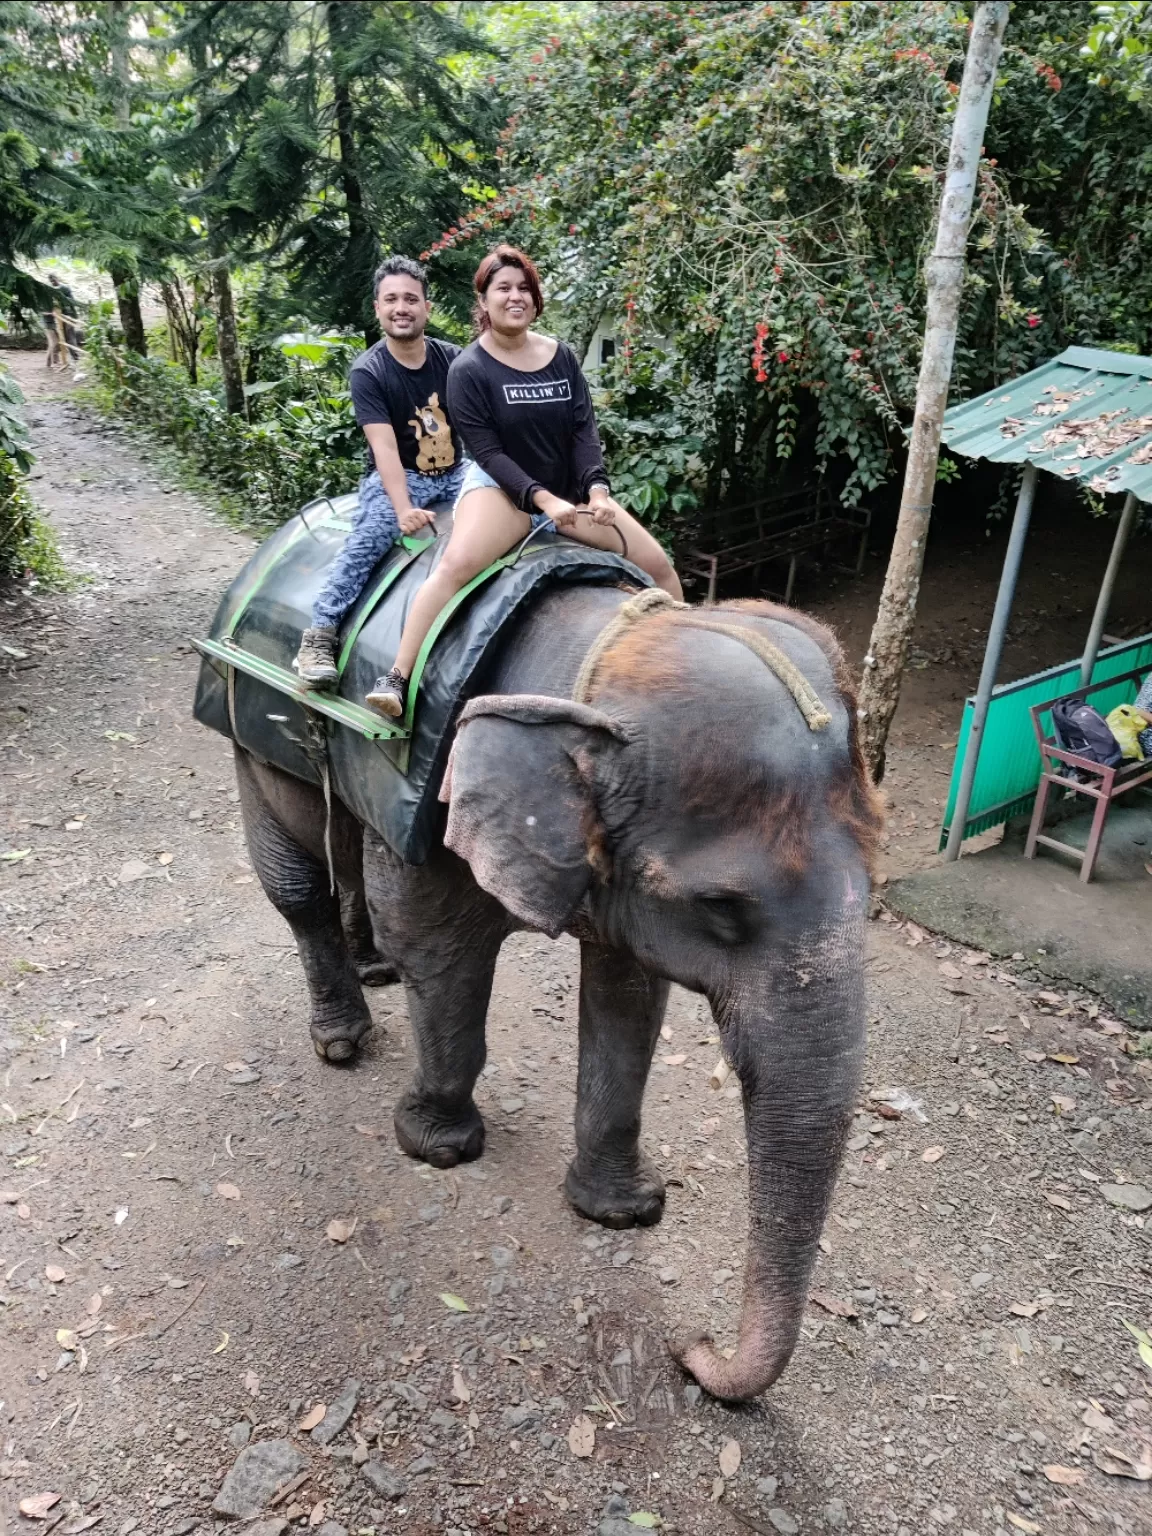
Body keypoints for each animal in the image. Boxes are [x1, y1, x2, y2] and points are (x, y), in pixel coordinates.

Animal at [231, 580, 884, 1400]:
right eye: (719, 908)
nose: (691, 1345)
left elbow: (627, 996)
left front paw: (625, 1212)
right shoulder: (427, 804)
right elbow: (442, 954)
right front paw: (438, 1147)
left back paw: (373, 967)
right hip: (248, 735)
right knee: (294, 884)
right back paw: (342, 1039)